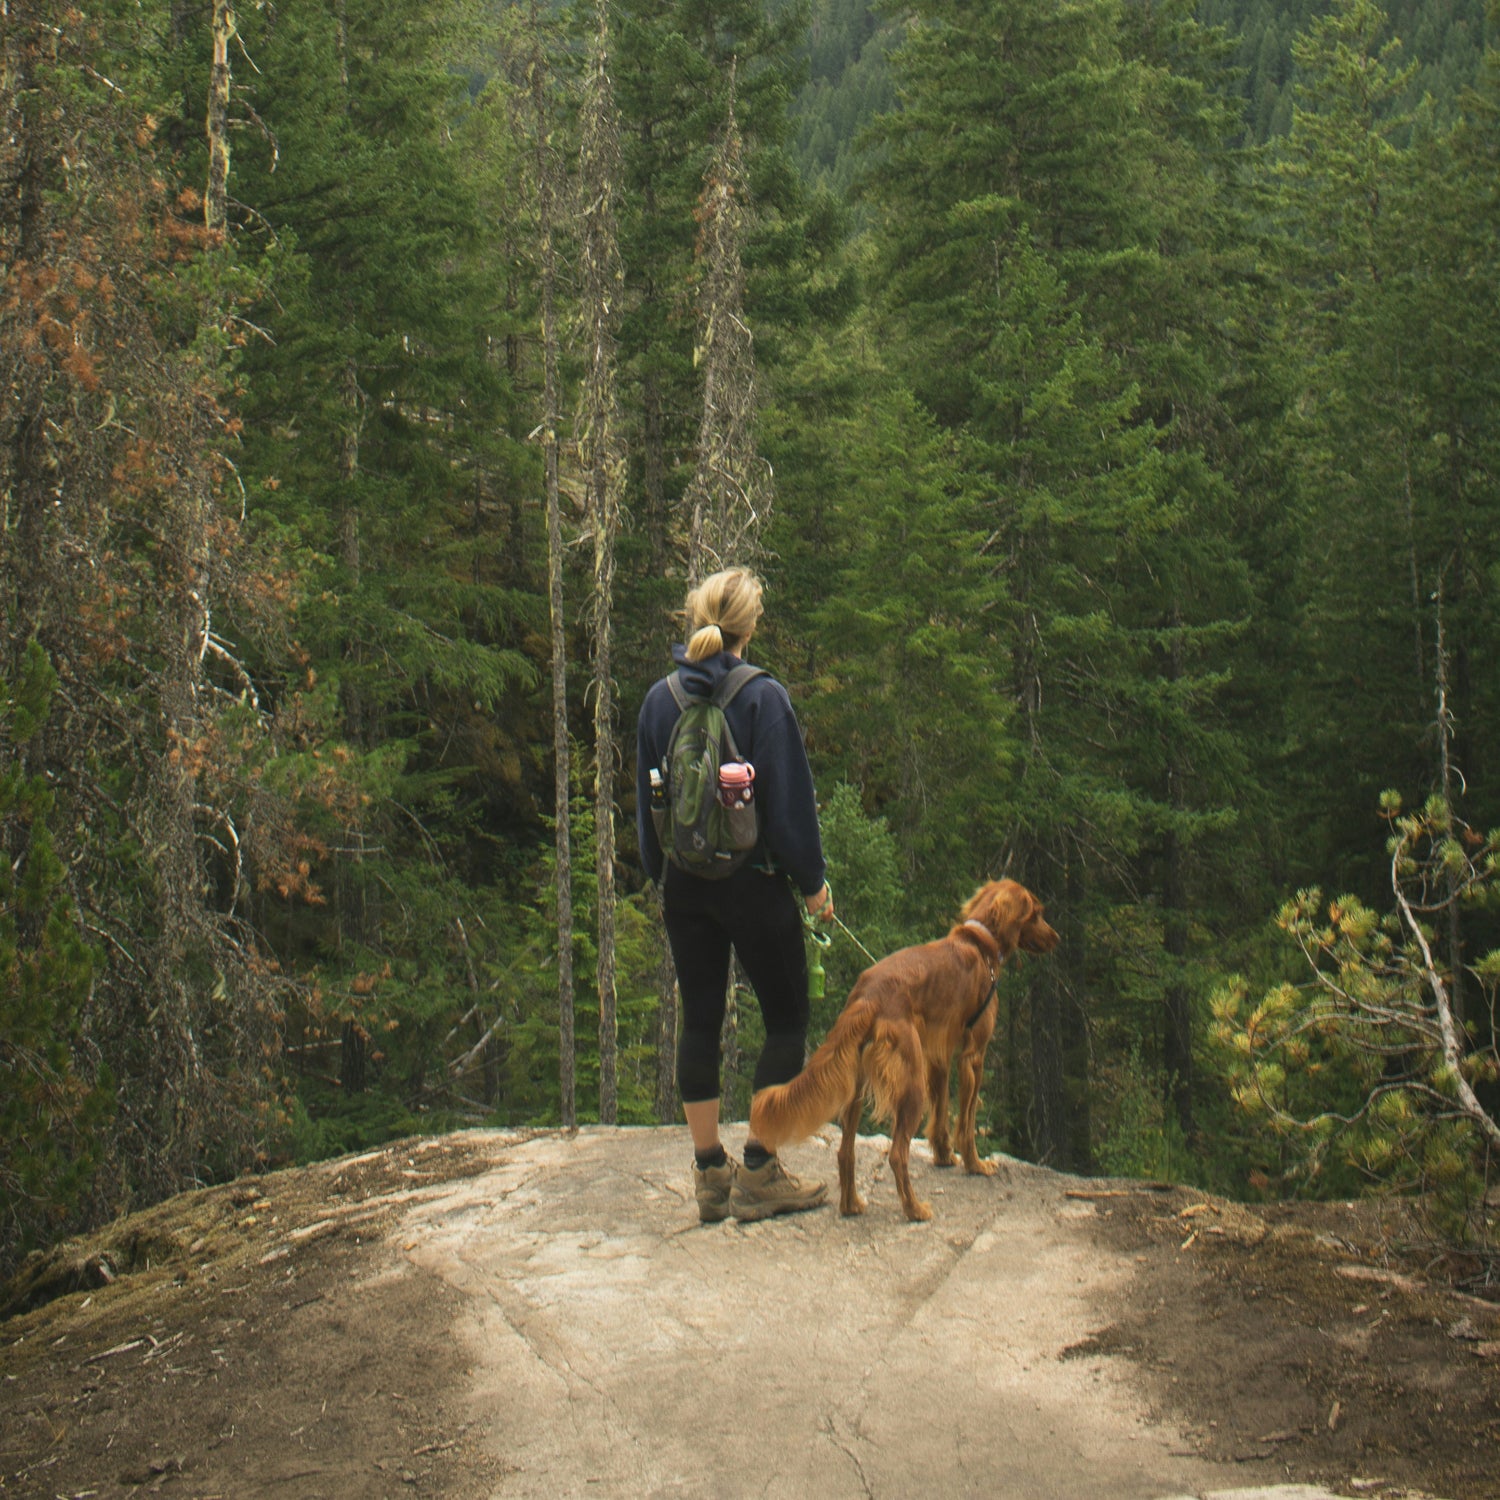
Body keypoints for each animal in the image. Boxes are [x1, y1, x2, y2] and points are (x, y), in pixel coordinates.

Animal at [747, 876, 1056, 1218]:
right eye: (1037, 913)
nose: (1056, 938)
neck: (980, 942)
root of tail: (869, 994)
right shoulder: (973, 1055)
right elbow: (967, 1120)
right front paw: (975, 1164)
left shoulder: (938, 1057)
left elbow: (942, 1113)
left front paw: (944, 1156)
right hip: (910, 1081)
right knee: (896, 1154)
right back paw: (914, 1209)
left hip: (858, 1085)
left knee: (845, 1152)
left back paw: (851, 1204)